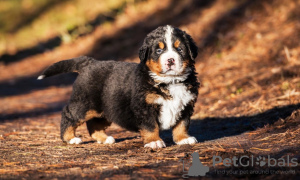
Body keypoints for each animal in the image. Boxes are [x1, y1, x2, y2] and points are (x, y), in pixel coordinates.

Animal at [38, 25, 200, 149]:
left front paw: (183, 139)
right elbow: (150, 126)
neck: (170, 81)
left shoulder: (186, 104)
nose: (170, 60)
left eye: (180, 49)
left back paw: (104, 139)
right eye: (159, 51)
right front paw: (154, 142)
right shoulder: (144, 107)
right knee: (68, 114)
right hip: (85, 104)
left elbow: (182, 124)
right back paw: (70, 138)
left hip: (105, 109)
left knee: (94, 125)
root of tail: (89, 63)